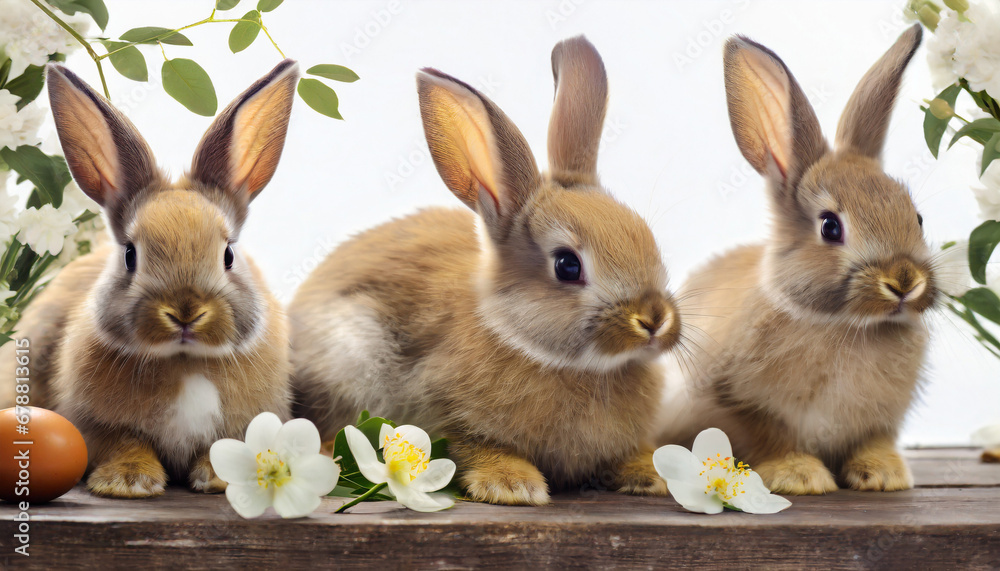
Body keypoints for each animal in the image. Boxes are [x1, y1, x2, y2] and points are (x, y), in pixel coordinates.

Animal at [0, 59, 296, 496]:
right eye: (130, 255)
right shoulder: (96, 424)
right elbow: (126, 443)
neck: (184, 362)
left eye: (228, 255)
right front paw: (127, 482)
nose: (186, 312)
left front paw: (220, 478)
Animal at [290, 38, 680, 508]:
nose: (654, 320)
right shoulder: (440, 409)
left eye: (648, 239)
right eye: (567, 265)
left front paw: (651, 474)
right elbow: (472, 446)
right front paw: (512, 485)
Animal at [656, 25, 936, 496]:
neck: (845, 325)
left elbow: (874, 439)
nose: (904, 280)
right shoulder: (735, 402)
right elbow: (769, 437)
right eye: (830, 227)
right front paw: (801, 476)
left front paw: (884, 475)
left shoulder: (882, 417)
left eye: (916, 217)